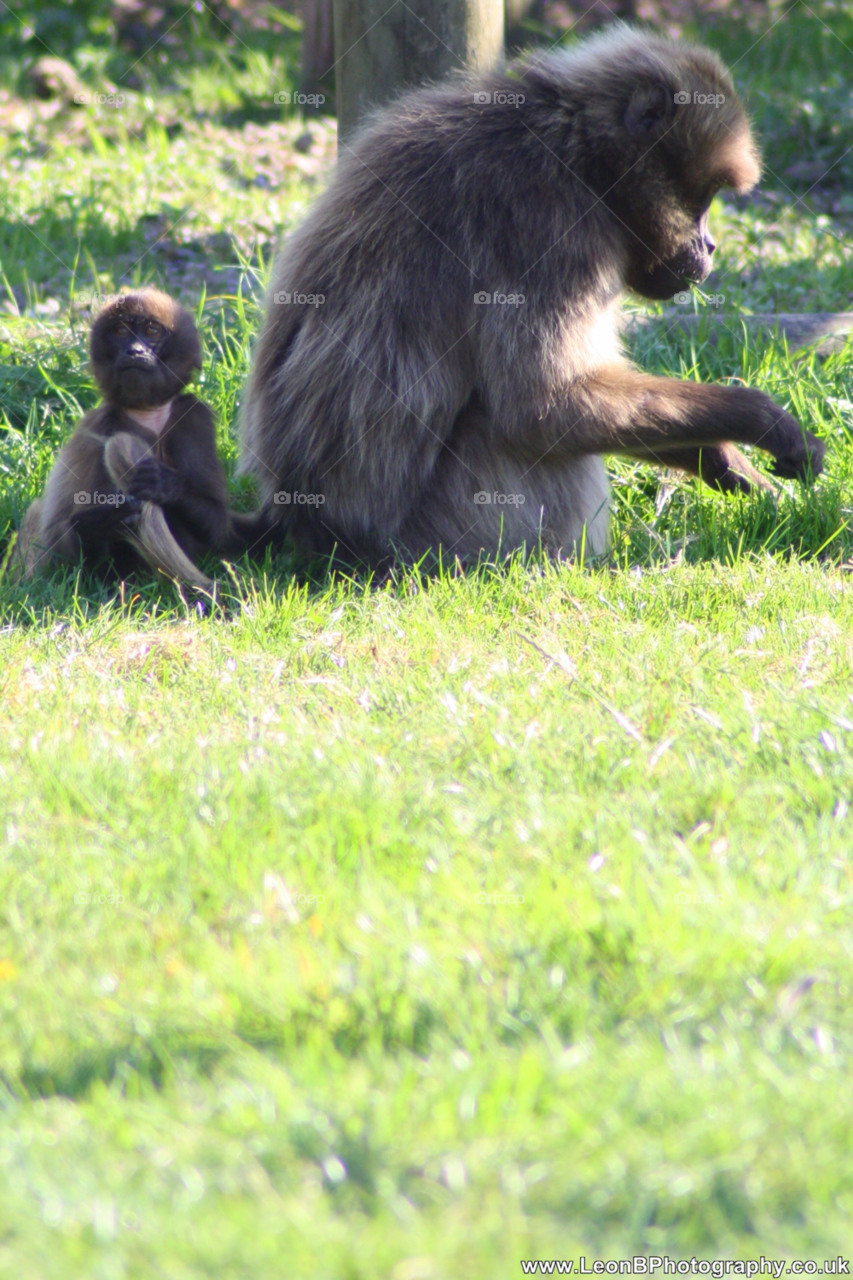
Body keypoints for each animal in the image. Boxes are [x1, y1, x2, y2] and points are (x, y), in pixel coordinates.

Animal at [13, 289, 233, 589]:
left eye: (151, 331)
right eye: (120, 331)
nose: (134, 350)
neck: (146, 414)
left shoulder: (192, 417)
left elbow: (218, 524)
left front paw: (165, 484)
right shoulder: (102, 426)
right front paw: (98, 523)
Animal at [237, 26, 825, 567]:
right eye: (702, 200)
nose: (710, 247)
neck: (575, 152)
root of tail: (306, 525)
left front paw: (717, 458)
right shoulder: (550, 225)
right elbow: (541, 409)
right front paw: (757, 418)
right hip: (443, 534)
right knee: (519, 432)